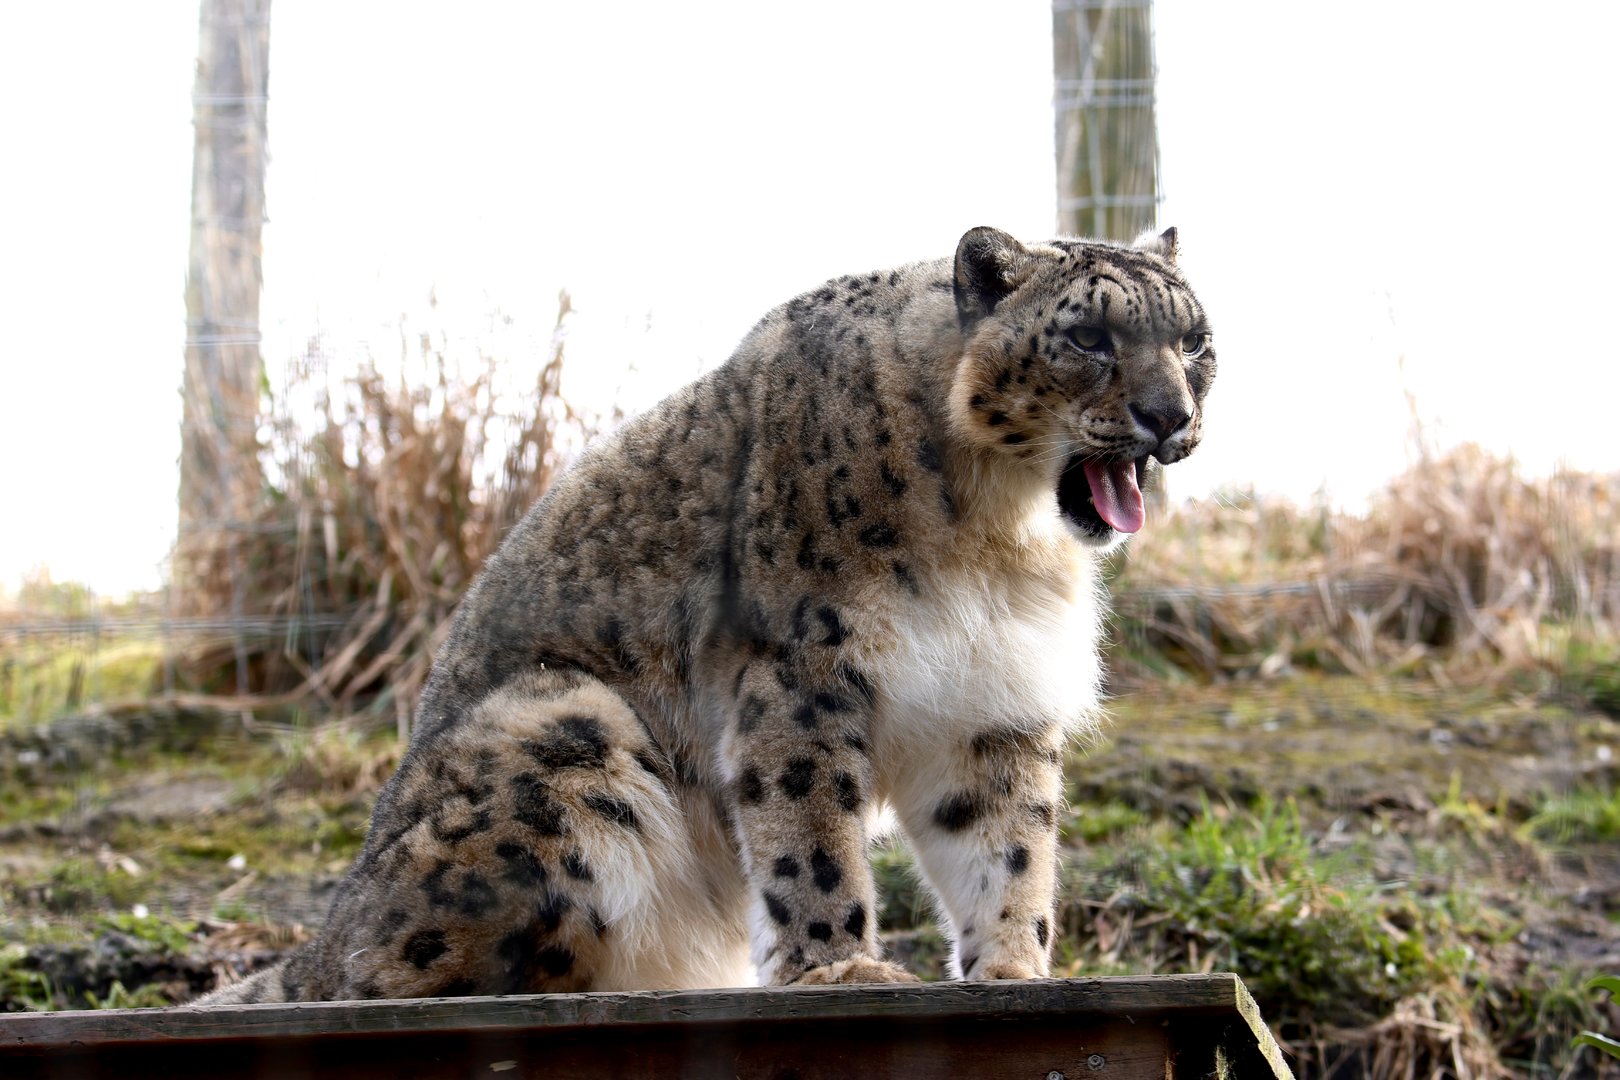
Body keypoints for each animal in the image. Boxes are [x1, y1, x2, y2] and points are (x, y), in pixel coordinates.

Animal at [195, 225, 1215, 1003]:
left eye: (1198, 341)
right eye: (1089, 337)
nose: (1171, 416)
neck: (1000, 537)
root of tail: (324, 936)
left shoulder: (992, 703)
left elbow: (1009, 846)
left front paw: (1013, 969)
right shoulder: (803, 671)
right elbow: (810, 831)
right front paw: (842, 968)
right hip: (565, 723)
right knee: (405, 975)